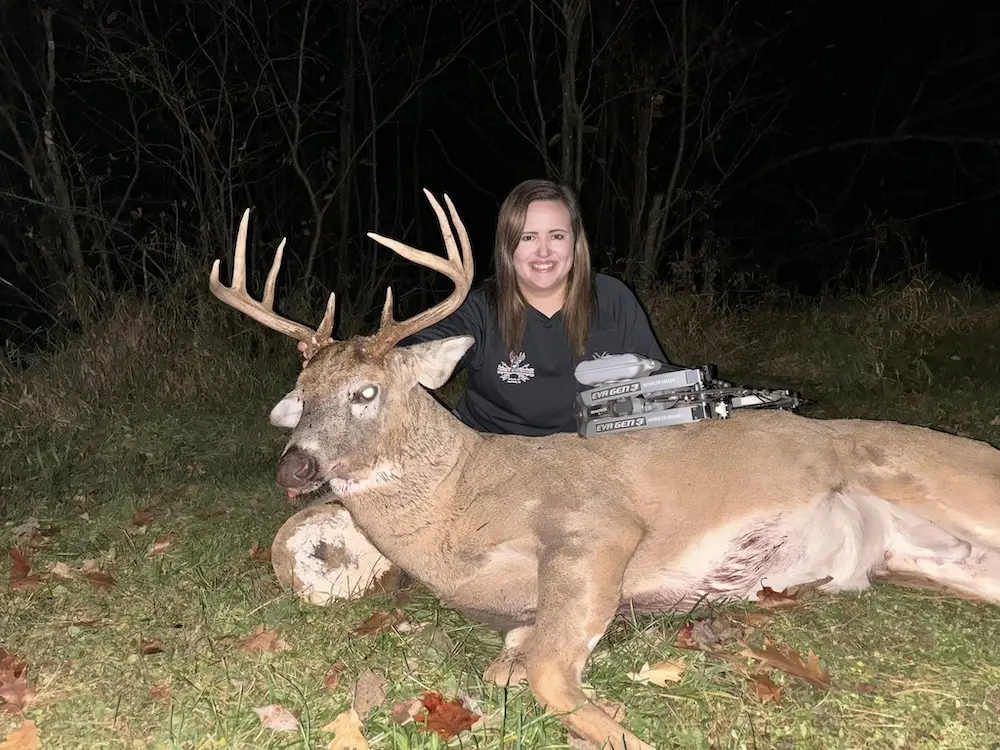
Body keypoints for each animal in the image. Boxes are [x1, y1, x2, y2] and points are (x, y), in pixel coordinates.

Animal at [209, 189, 1000, 750]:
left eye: (366, 392)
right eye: (302, 393)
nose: (294, 467)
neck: (458, 511)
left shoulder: (594, 522)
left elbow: (548, 672)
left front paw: (630, 735)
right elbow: (516, 661)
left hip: (940, 477)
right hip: (926, 563)